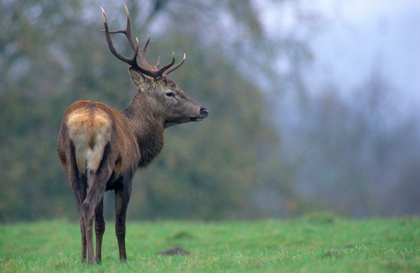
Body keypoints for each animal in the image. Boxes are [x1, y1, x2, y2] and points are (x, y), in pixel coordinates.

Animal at [56, 4, 208, 264]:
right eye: (170, 93)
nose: (203, 110)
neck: (138, 137)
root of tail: (86, 122)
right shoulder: (126, 176)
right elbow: (120, 225)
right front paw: (122, 260)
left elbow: (101, 224)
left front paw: (99, 260)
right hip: (101, 164)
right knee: (87, 207)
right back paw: (88, 260)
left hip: (72, 168)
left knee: (80, 210)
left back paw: (84, 259)